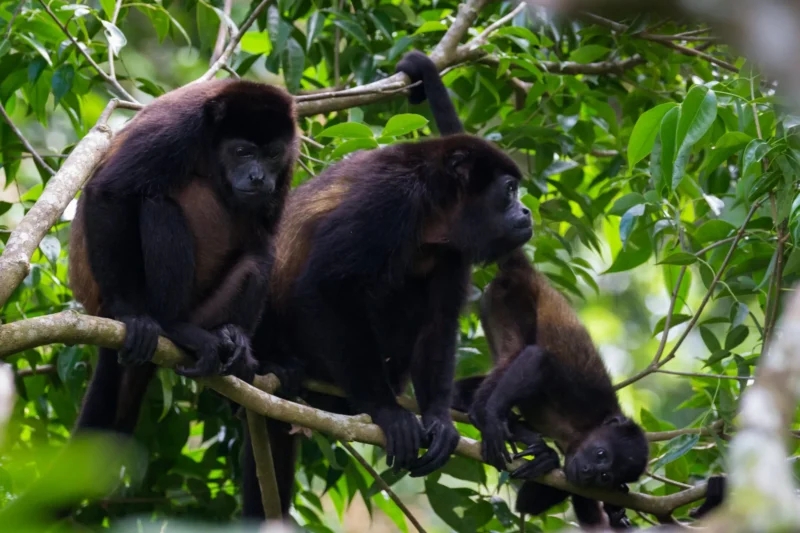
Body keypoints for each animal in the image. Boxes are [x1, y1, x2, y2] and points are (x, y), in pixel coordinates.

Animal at [68, 79, 298, 436]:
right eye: (243, 152)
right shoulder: (176, 129)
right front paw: (131, 314)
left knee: (261, 253)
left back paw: (230, 337)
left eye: (273, 154)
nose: (258, 177)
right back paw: (171, 327)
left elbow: (269, 236)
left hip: (206, 311)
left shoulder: (289, 159)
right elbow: (109, 191)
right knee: (156, 204)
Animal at [241, 49, 533, 519]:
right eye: (508, 191)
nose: (526, 212)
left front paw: (438, 420)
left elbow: (439, 321)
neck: (434, 213)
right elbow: (324, 286)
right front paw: (385, 412)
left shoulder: (453, 250)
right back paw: (279, 365)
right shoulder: (389, 199)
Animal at [456, 248, 649, 529]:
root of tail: (532, 274)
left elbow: (527, 503)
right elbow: (538, 359)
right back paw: (481, 412)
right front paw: (495, 422)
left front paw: (547, 458)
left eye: (606, 477)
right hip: (509, 298)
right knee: (516, 351)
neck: (583, 433)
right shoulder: (585, 397)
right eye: (601, 454)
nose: (590, 472)